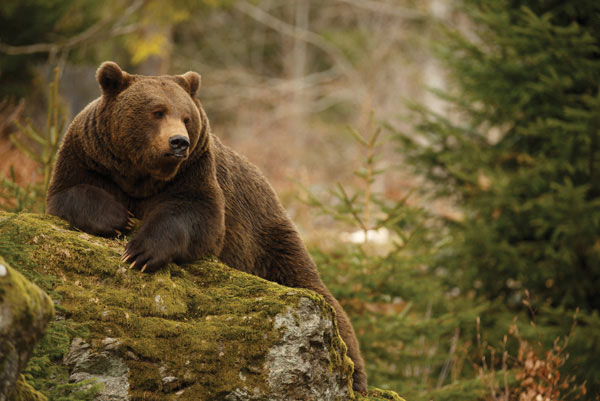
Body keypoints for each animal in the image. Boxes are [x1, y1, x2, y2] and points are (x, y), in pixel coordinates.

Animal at [45, 61, 366, 390]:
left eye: (186, 117)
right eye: (157, 111)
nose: (179, 142)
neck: (141, 175)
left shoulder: (194, 172)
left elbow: (196, 215)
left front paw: (140, 252)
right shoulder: (89, 156)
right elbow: (70, 191)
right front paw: (119, 218)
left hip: (268, 240)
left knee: (324, 303)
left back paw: (354, 374)